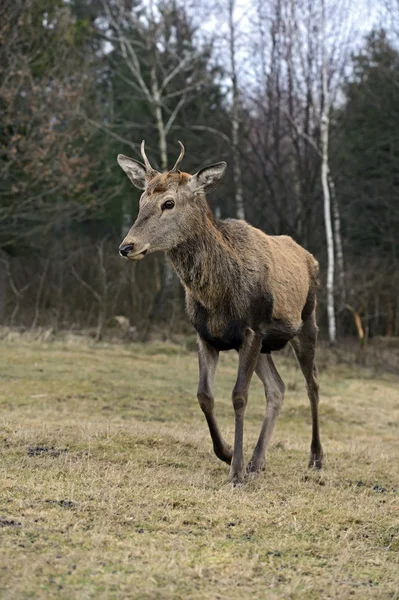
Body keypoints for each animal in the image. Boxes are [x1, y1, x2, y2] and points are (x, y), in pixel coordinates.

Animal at [117, 142, 324, 488]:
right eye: (141, 200)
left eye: (168, 202)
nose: (127, 246)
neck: (217, 297)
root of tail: (310, 257)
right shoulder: (206, 336)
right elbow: (204, 395)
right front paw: (227, 453)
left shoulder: (251, 330)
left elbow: (239, 396)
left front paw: (235, 471)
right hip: (266, 346)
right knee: (277, 389)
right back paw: (258, 461)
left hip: (307, 322)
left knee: (313, 386)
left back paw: (316, 458)